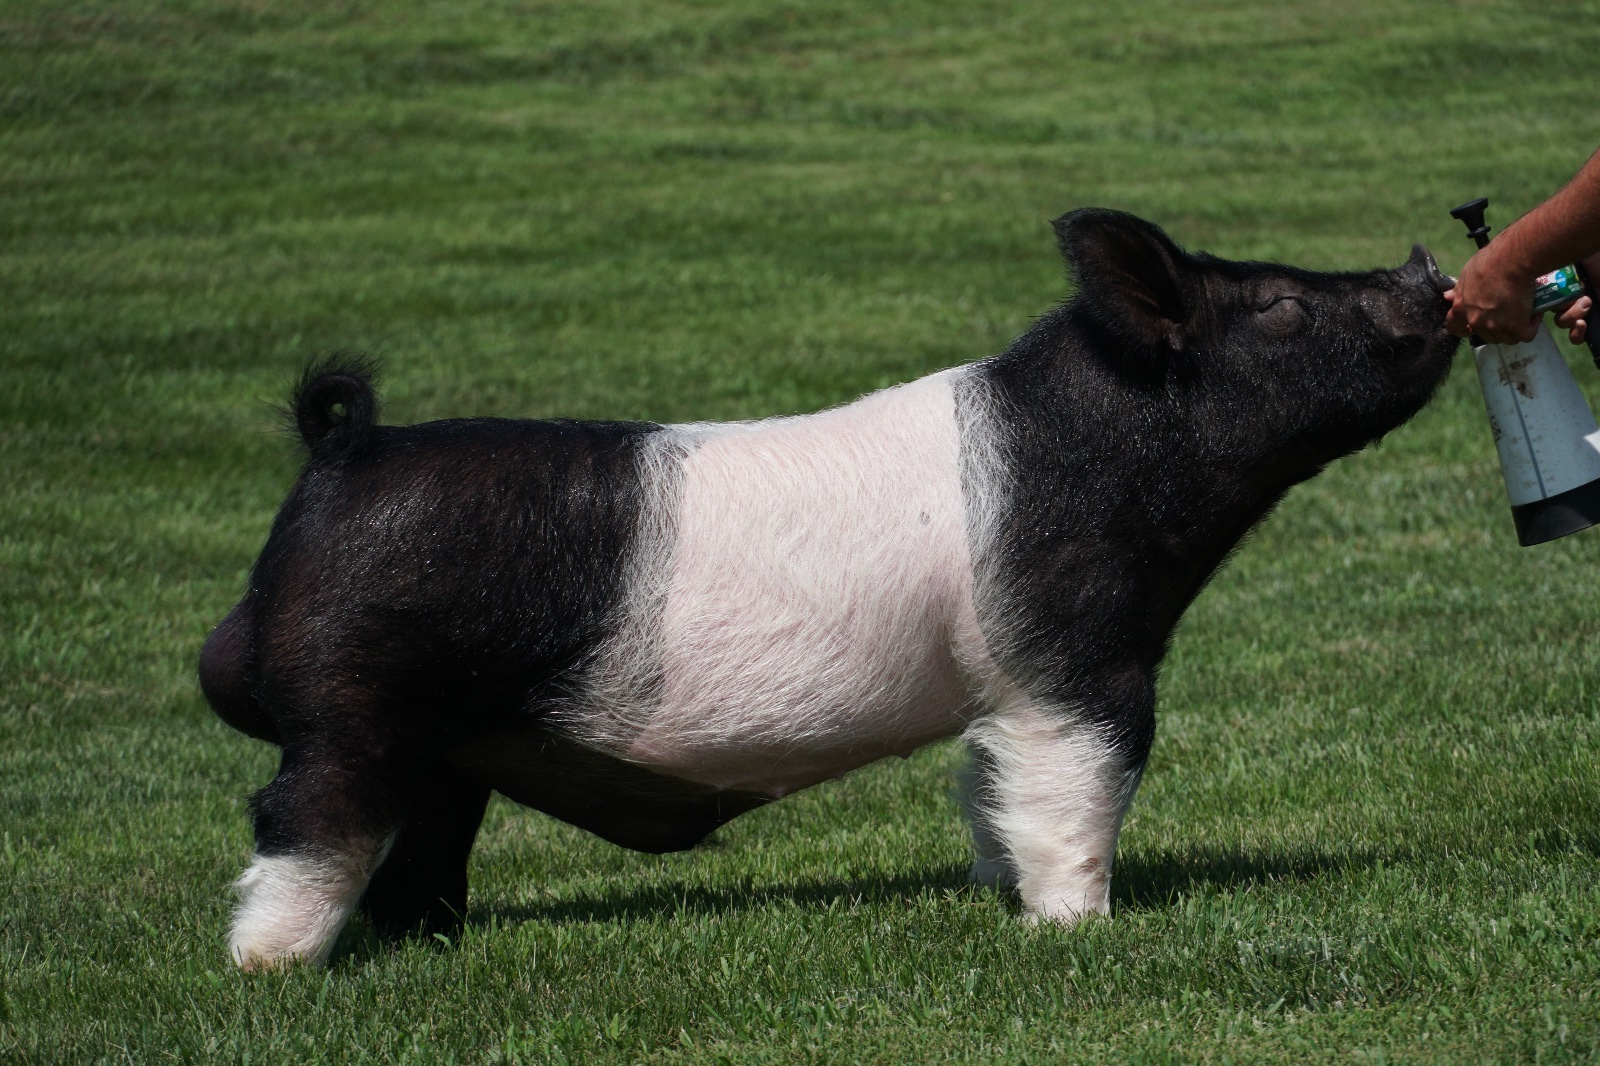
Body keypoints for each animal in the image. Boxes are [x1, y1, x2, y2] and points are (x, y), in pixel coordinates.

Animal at [198, 209, 1459, 969]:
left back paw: (427, 951)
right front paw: (1077, 935)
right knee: (302, 822)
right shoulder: (1077, 655)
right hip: (355, 705)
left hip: (447, 742)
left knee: (420, 853)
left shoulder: (999, 685)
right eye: (1282, 306)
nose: (1426, 268)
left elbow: (989, 788)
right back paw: (270, 970)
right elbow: (1080, 790)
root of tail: (343, 451)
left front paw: (1001, 893)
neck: (1114, 456)